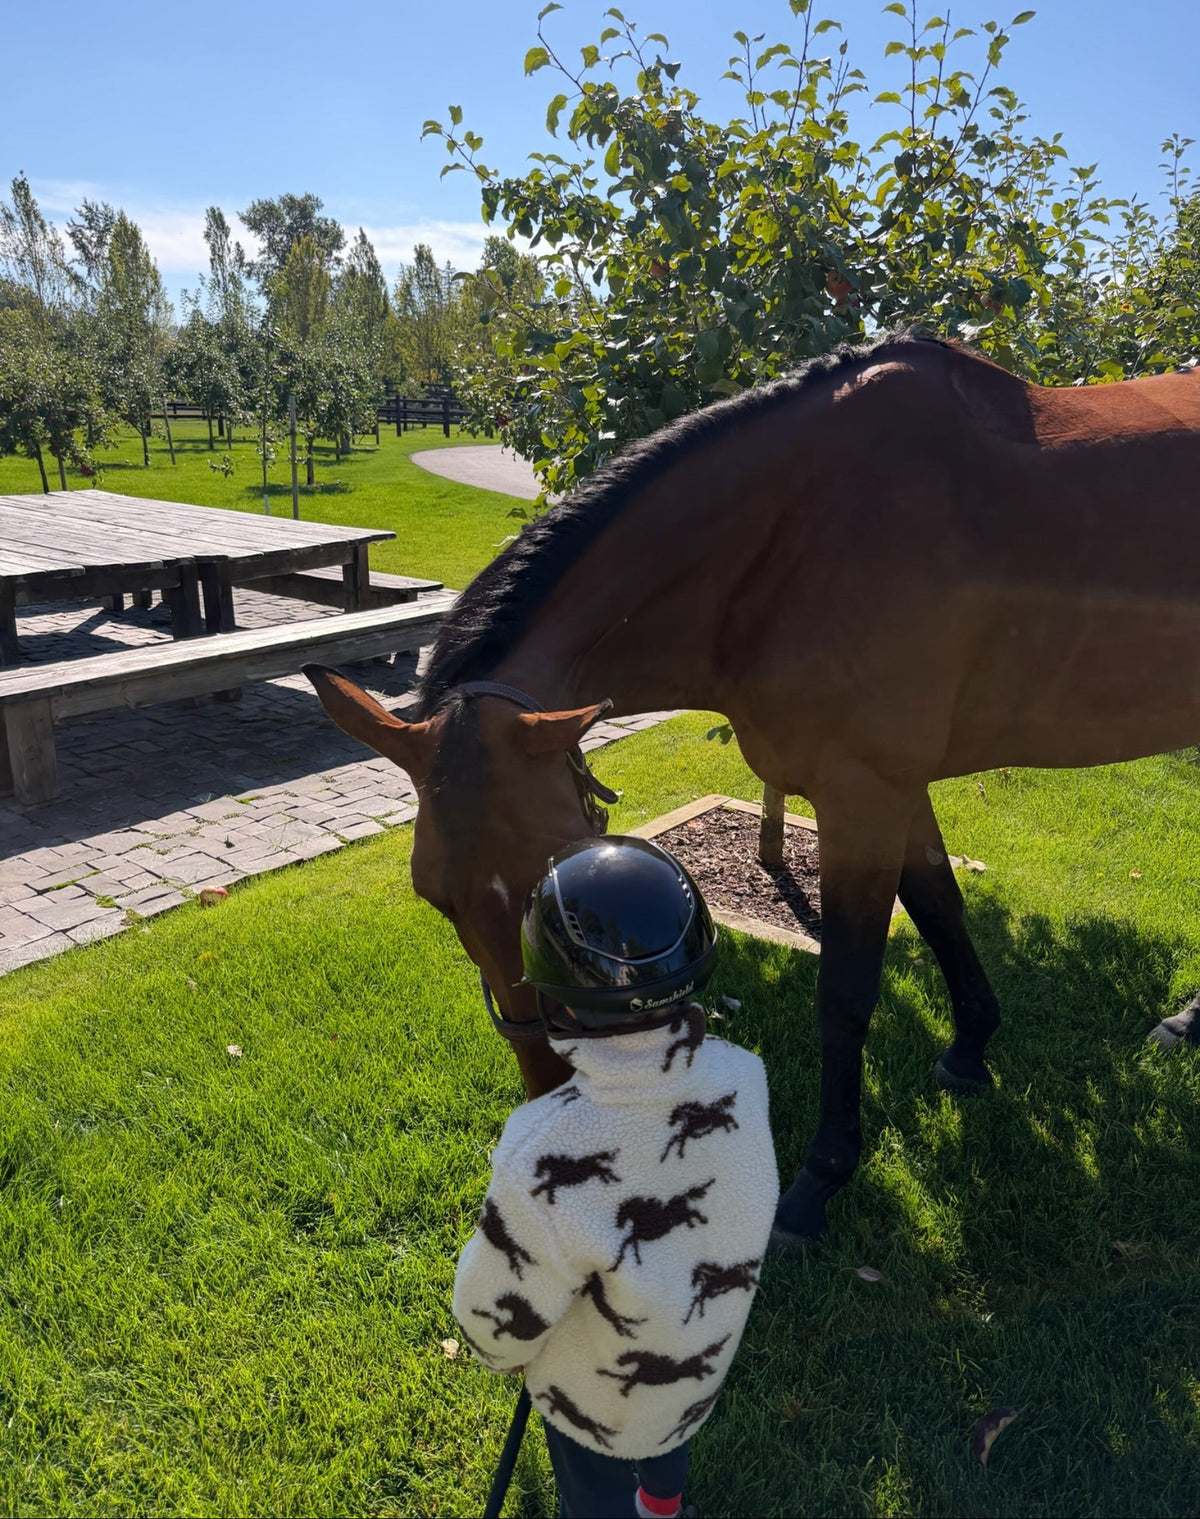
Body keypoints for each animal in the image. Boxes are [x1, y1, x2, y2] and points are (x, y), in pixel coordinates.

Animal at [305, 332, 1200, 1247]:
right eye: (434, 895)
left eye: (552, 877)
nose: (551, 1087)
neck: (793, 535)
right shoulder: (894, 787)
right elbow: (942, 907)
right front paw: (970, 1048)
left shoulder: (862, 793)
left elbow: (845, 993)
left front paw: (817, 1183)